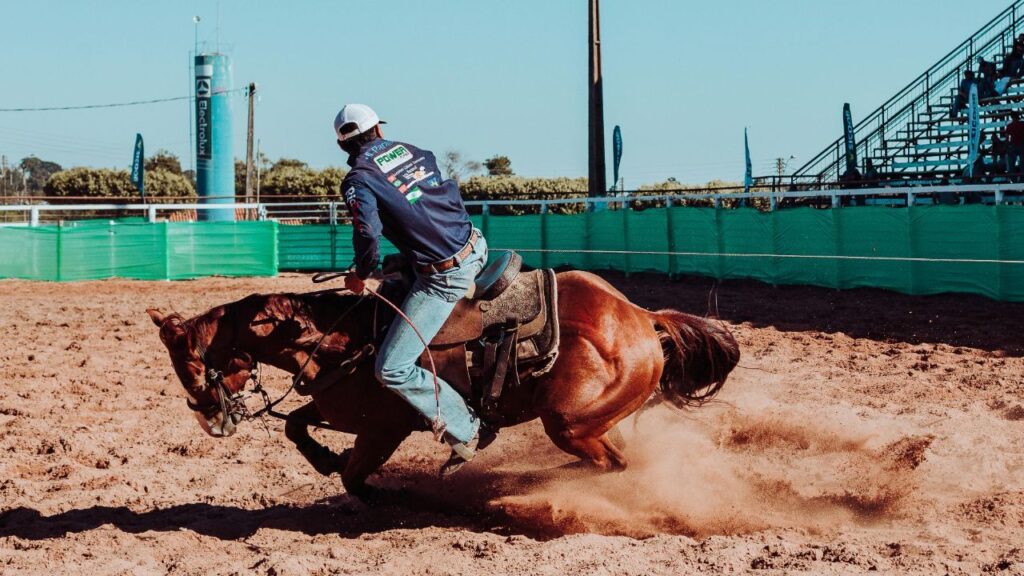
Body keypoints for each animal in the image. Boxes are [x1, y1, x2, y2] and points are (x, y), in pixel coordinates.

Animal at [146, 270, 740, 499]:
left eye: (193, 364)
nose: (212, 421)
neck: (340, 336)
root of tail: (641, 317)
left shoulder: (384, 426)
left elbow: (355, 477)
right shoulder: (344, 410)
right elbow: (297, 425)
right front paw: (327, 459)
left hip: (568, 421)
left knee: (612, 463)